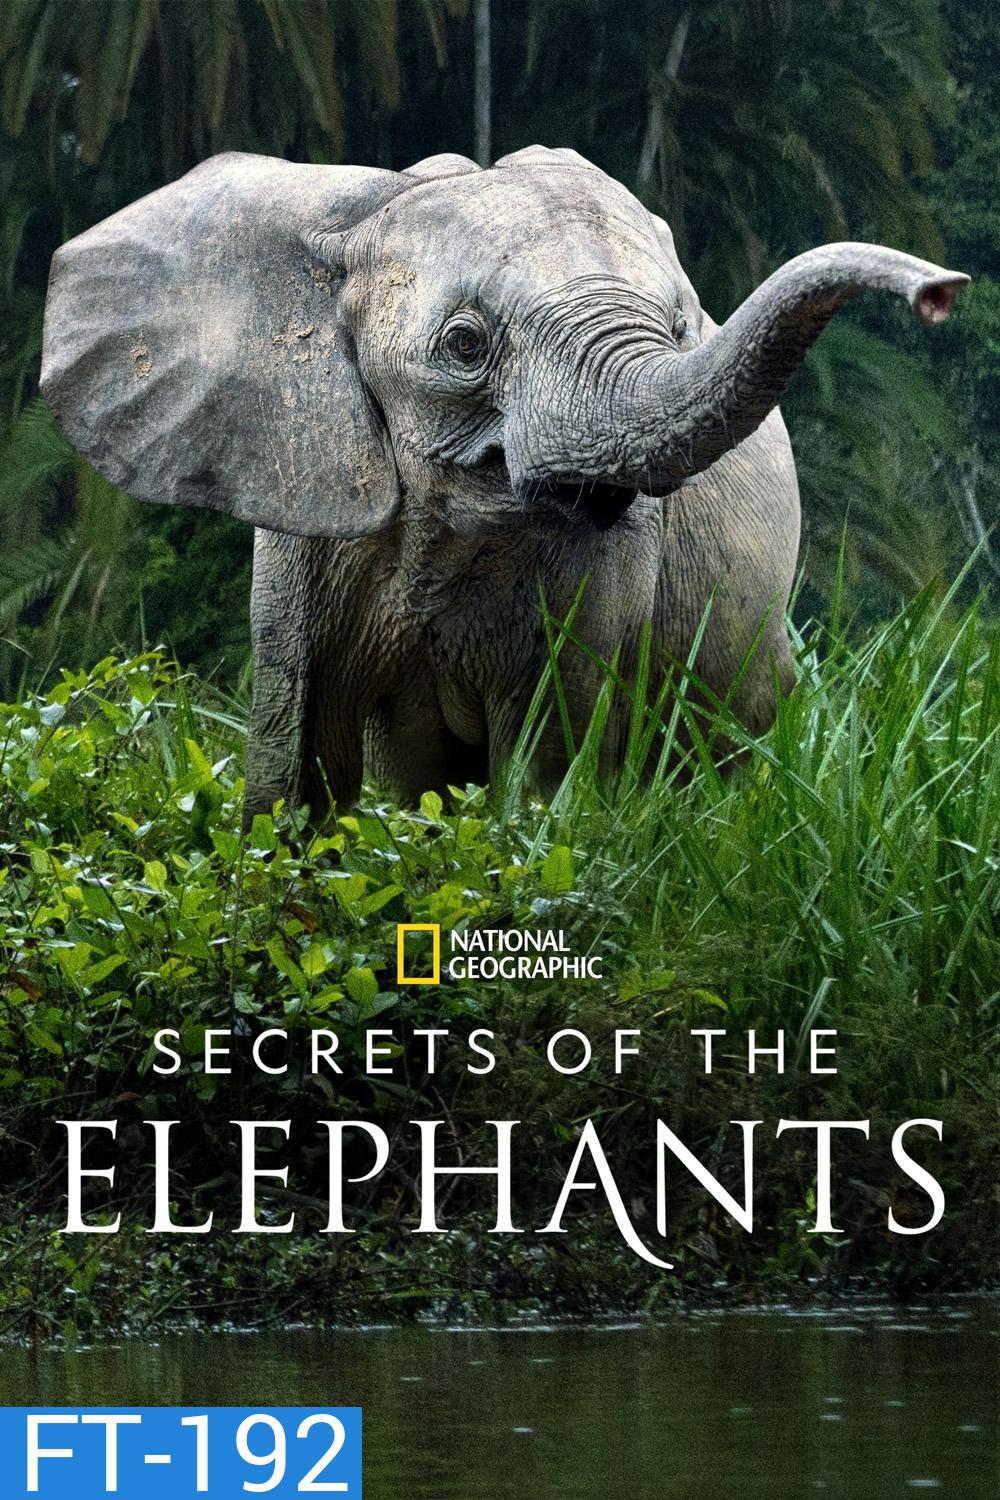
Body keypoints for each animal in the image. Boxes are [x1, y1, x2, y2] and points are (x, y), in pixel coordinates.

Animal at [40, 146, 967, 819]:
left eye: (679, 329)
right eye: (464, 344)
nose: (942, 292)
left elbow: (545, 757)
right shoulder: (304, 502)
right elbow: (297, 757)